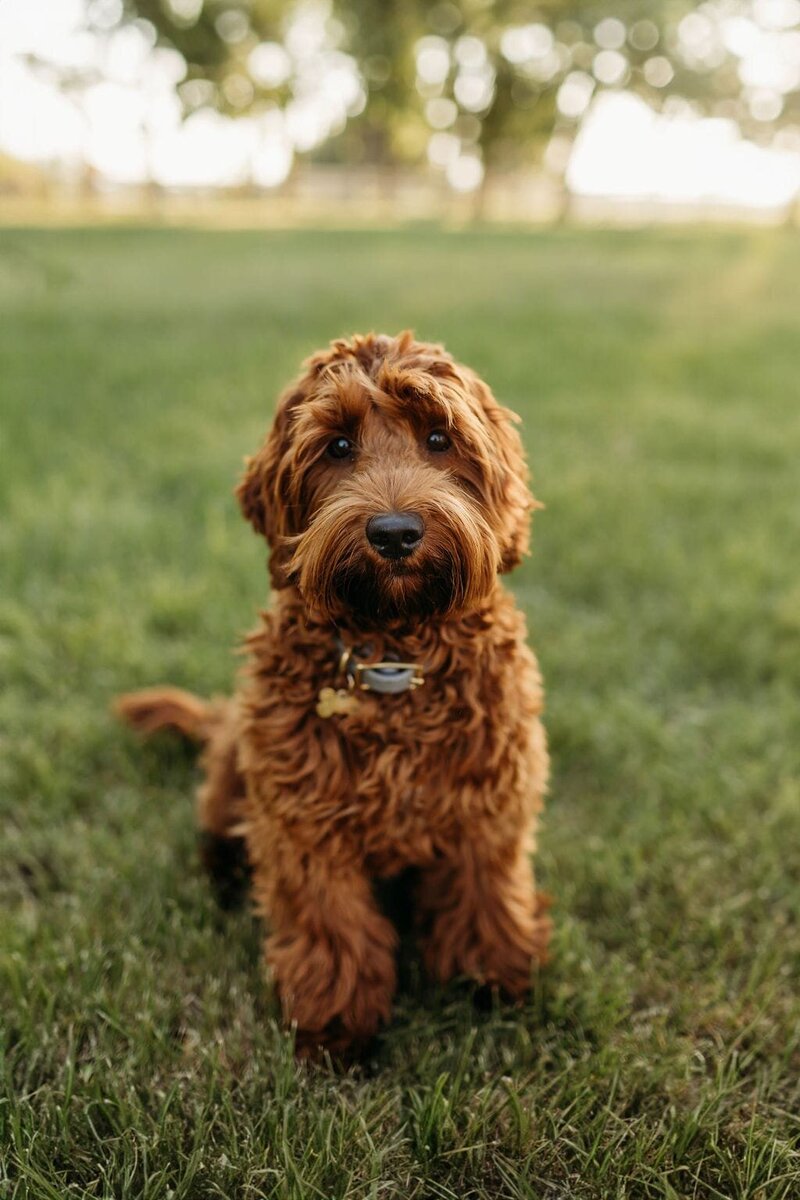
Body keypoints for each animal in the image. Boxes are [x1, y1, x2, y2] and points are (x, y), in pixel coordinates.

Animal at [117, 333, 551, 1056]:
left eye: (439, 437)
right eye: (339, 446)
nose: (395, 533)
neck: (394, 658)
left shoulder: (488, 800)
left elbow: (484, 888)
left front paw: (489, 975)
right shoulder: (304, 820)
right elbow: (332, 922)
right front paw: (337, 1025)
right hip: (239, 754)